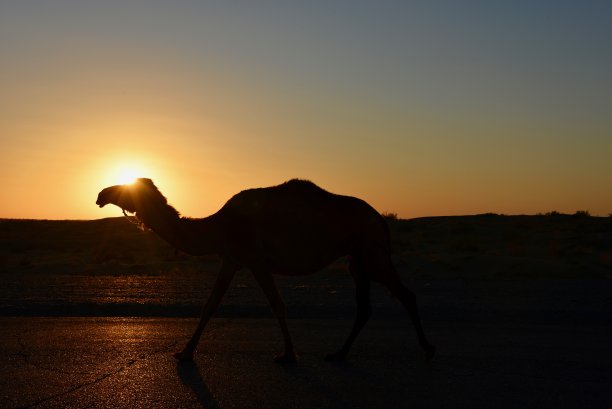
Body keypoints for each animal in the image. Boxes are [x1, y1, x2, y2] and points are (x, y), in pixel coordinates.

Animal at [97, 177, 436, 362]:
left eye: (124, 187)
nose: (101, 194)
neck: (217, 226)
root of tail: (380, 218)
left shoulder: (254, 259)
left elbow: (277, 304)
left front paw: (288, 355)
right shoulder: (232, 259)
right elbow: (210, 305)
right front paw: (185, 353)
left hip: (371, 251)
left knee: (406, 295)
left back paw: (427, 348)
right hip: (358, 259)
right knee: (365, 306)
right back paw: (339, 354)